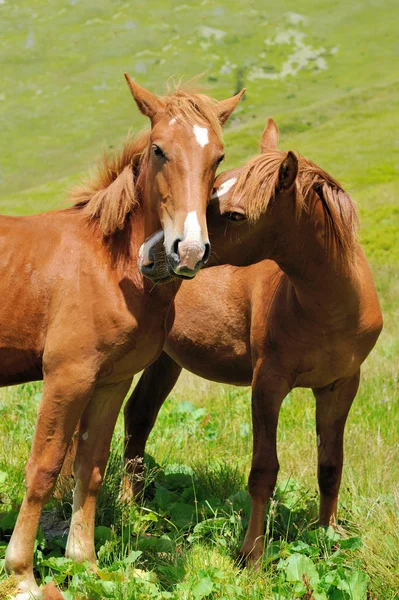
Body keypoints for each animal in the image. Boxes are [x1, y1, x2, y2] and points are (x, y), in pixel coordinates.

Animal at [3, 77, 244, 596]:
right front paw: (22, 573)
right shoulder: (67, 376)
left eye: (217, 156)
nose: (187, 251)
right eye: (158, 149)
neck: (106, 267)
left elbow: (90, 468)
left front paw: (85, 562)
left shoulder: (112, 381)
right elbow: (44, 468)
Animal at [124, 118, 384, 568]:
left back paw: (132, 508)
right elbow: (264, 470)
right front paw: (252, 555)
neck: (326, 310)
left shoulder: (340, 386)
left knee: (138, 417)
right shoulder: (268, 384)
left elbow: (331, 464)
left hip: (165, 360)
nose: (155, 256)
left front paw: (329, 537)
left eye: (234, 214)